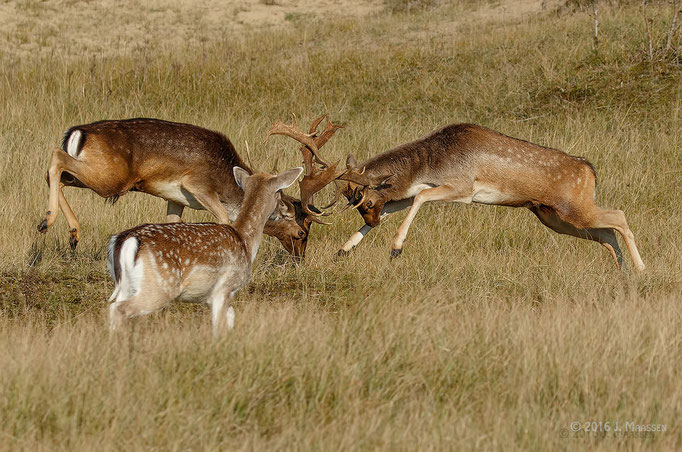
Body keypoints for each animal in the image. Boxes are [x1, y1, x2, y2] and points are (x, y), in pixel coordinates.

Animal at [35, 116, 342, 256]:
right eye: (302, 232)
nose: (300, 258)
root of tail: (77, 133)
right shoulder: (196, 184)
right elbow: (223, 218)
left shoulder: (176, 198)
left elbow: (171, 222)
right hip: (110, 178)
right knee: (55, 159)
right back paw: (47, 221)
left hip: (93, 175)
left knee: (56, 176)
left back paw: (72, 234)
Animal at [107, 165, 302, 332]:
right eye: (280, 193)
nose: (287, 210)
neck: (245, 242)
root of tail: (126, 239)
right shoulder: (224, 288)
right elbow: (219, 326)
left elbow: (230, 318)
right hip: (160, 285)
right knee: (120, 309)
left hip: (126, 285)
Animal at [334, 123, 644, 270]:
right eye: (358, 206)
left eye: (366, 201)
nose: (372, 222)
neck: (431, 163)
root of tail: (590, 170)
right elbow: (401, 203)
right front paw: (343, 250)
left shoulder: (464, 188)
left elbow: (421, 196)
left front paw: (396, 248)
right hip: (553, 217)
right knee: (606, 233)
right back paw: (625, 272)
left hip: (573, 208)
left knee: (618, 216)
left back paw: (641, 269)